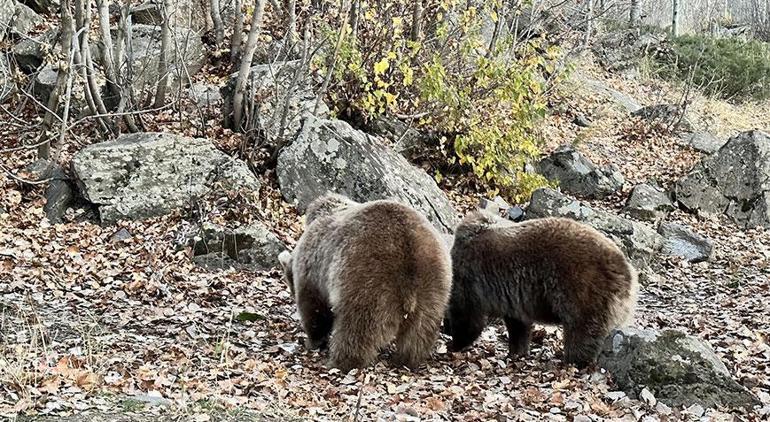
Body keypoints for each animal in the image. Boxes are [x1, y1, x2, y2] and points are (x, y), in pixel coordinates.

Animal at [280, 193, 452, 370]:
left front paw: (312, 340)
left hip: (365, 277)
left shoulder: (313, 268)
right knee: (420, 329)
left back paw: (340, 362)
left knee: (356, 328)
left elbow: (314, 308)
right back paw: (407, 359)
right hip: (434, 283)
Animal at [444, 210, 636, 366]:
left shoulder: (471, 279)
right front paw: (517, 351)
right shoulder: (512, 298)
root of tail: (625, 269)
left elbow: (468, 317)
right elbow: (518, 325)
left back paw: (574, 359)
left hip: (582, 287)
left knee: (581, 329)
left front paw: (455, 343)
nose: (446, 330)